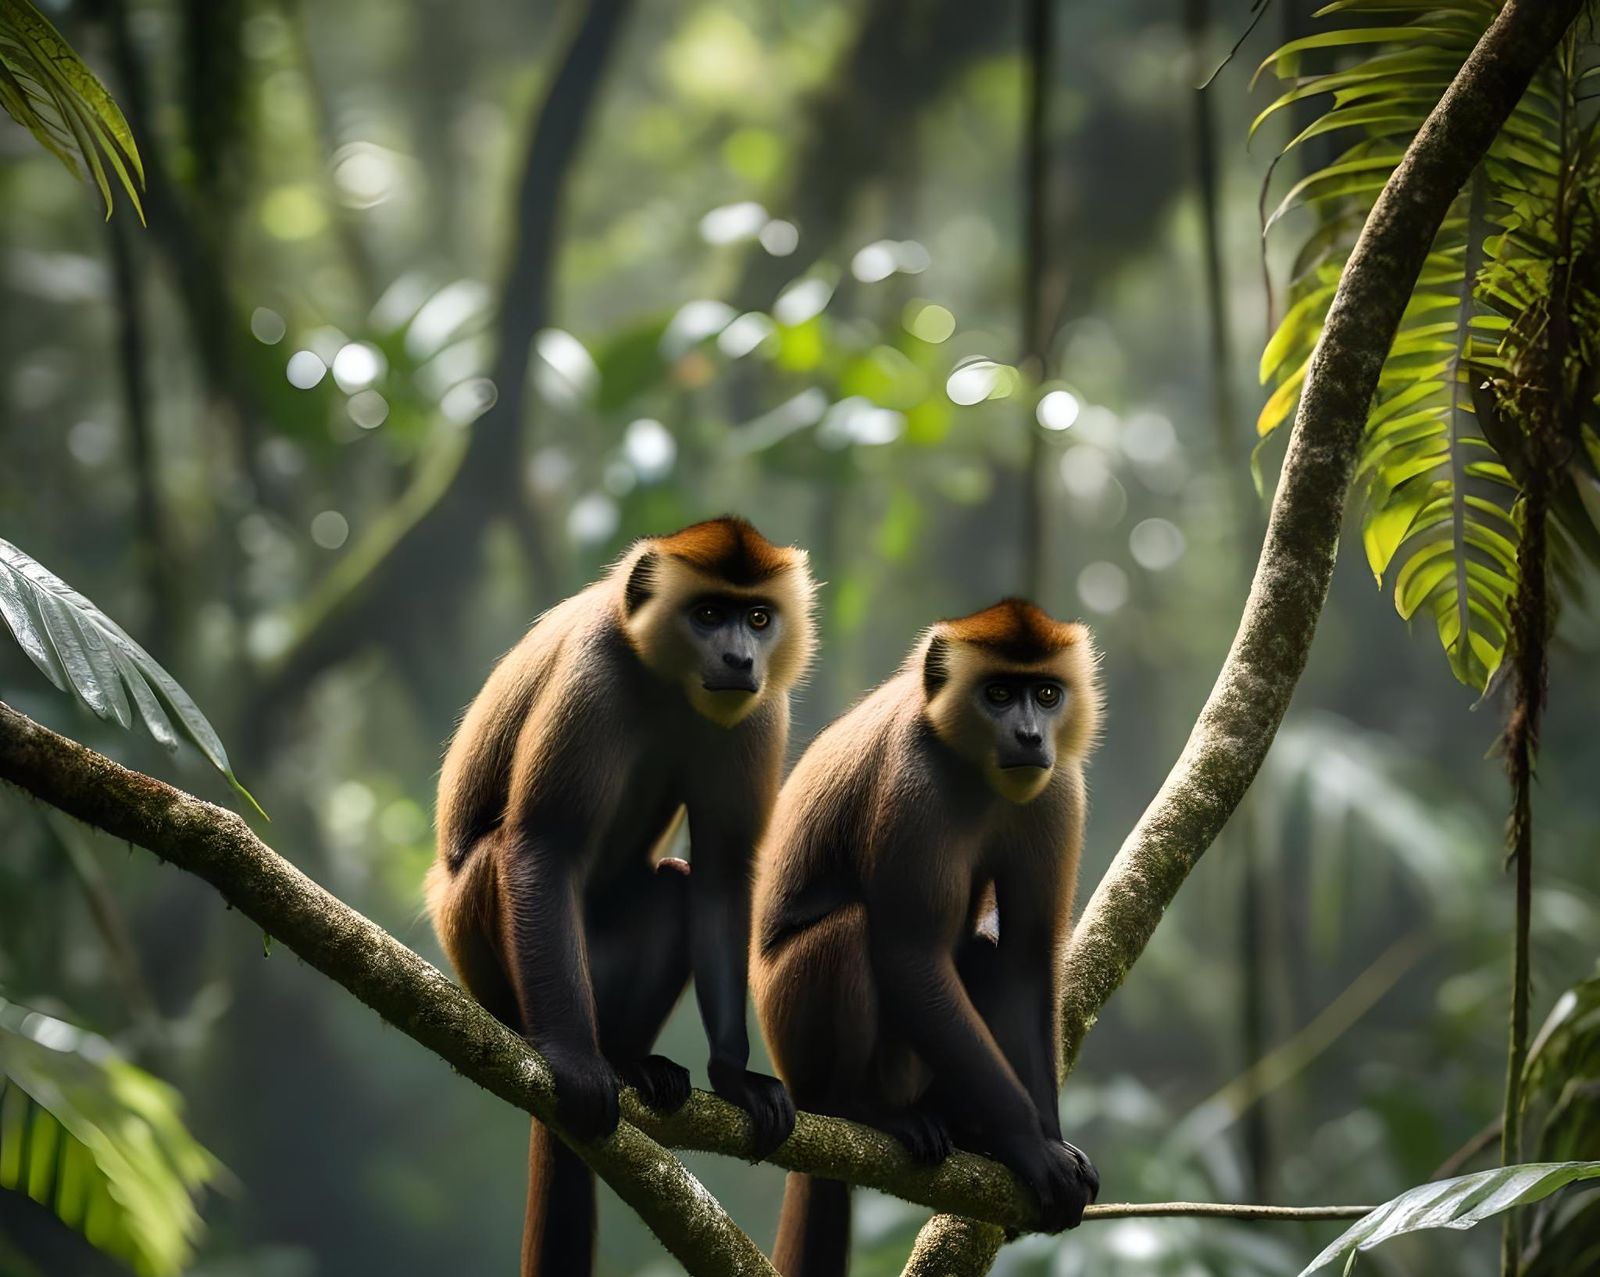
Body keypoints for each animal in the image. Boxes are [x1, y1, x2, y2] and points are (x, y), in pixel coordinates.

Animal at [426, 516, 815, 1277]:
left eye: (758, 617)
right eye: (708, 613)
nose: (739, 656)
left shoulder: (757, 708)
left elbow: (721, 873)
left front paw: (735, 1077)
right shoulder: (594, 674)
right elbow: (542, 846)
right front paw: (576, 1062)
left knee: (673, 886)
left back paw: (630, 1058)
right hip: (485, 942)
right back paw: (581, 1049)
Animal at [750, 598, 1102, 1277]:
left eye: (1046, 694)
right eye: (999, 693)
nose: (1029, 734)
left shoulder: (1057, 787)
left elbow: (1023, 960)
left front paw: (1043, 1138)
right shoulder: (915, 783)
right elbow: (909, 956)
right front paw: (1030, 1146)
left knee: (985, 955)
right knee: (854, 931)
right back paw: (861, 1110)